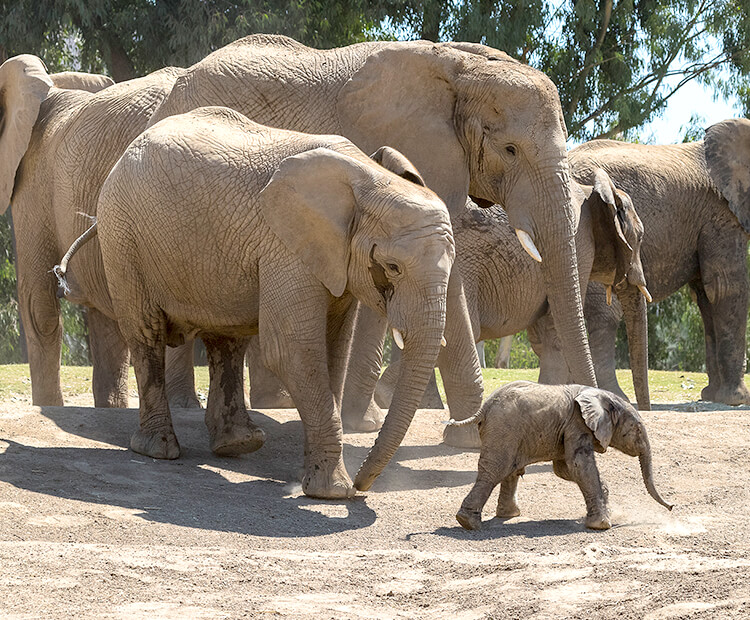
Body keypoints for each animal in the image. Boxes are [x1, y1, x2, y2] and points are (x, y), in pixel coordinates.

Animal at [148, 34, 600, 462]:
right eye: (510, 149)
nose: (593, 433)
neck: (462, 69)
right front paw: (470, 436)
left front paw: (378, 425)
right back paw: (186, 407)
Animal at [450, 380, 672, 532]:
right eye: (638, 429)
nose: (671, 507)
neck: (599, 395)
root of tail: (484, 408)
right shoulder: (577, 423)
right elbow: (578, 465)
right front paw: (601, 525)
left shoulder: (568, 429)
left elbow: (564, 468)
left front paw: (604, 501)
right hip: (503, 429)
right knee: (496, 469)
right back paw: (468, 523)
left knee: (511, 469)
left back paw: (508, 515)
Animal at [568, 118, 750, 406]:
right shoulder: (721, 214)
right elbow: (725, 288)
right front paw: (737, 399)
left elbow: (705, 295)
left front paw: (711, 395)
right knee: (604, 315)